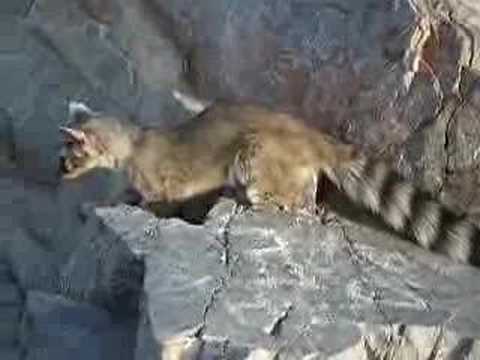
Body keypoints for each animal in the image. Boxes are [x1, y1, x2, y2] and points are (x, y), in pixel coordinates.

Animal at [59, 93, 480, 268]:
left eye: (70, 155)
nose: (58, 170)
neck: (130, 141)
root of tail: (309, 134)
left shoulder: (158, 179)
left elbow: (157, 202)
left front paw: (129, 207)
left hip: (261, 150)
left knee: (263, 173)